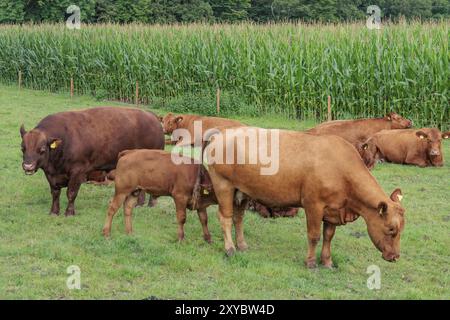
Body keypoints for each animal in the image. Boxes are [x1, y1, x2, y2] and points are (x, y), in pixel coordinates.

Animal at [19, 106, 163, 216]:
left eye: (42, 149)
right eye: (22, 148)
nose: (28, 166)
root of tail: (152, 116)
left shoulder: (77, 172)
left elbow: (71, 193)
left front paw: (69, 213)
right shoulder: (51, 174)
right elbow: (55, 193)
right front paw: (54, 212)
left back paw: (151, 204)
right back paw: (139, 204)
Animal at [206, 127, 406, 268]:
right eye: (391, 229)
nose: (395, 257)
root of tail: (222, 135)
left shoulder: (334, 208)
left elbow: (328, 236)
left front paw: (327, 262)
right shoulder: (313, 204)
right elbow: (314, 235)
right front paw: (310, 262)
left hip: (242, 190)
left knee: (238, 218)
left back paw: (242, 245)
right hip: (223, 185)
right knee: (225, 218)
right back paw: (230, 249)